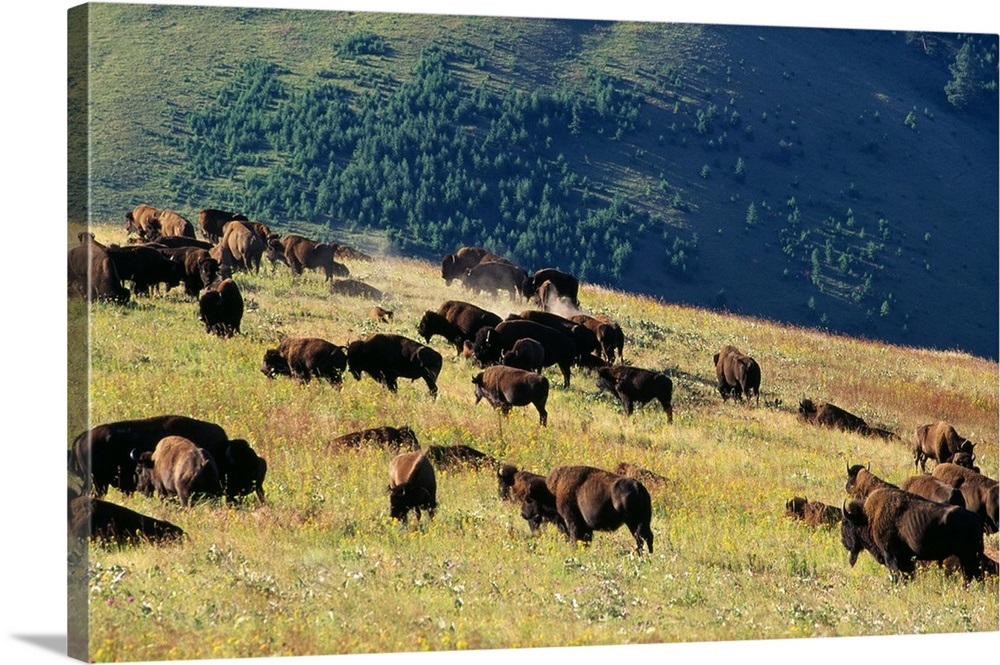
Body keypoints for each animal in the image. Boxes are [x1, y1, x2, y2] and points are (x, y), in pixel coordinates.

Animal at [524, 464, 656, 552]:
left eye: (529, 500)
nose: (523, 514)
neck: (552, 492)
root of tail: (639, 487)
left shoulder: (572, 522)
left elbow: (575, 538)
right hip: (643, 521)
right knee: (647, 537)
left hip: (633, 522)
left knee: (640, 538)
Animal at [840, 486, 988, 584]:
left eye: (846, 523)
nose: (843, 542)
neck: (868, 518)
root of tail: (977, 519)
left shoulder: (891, 555)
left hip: (968, 556)